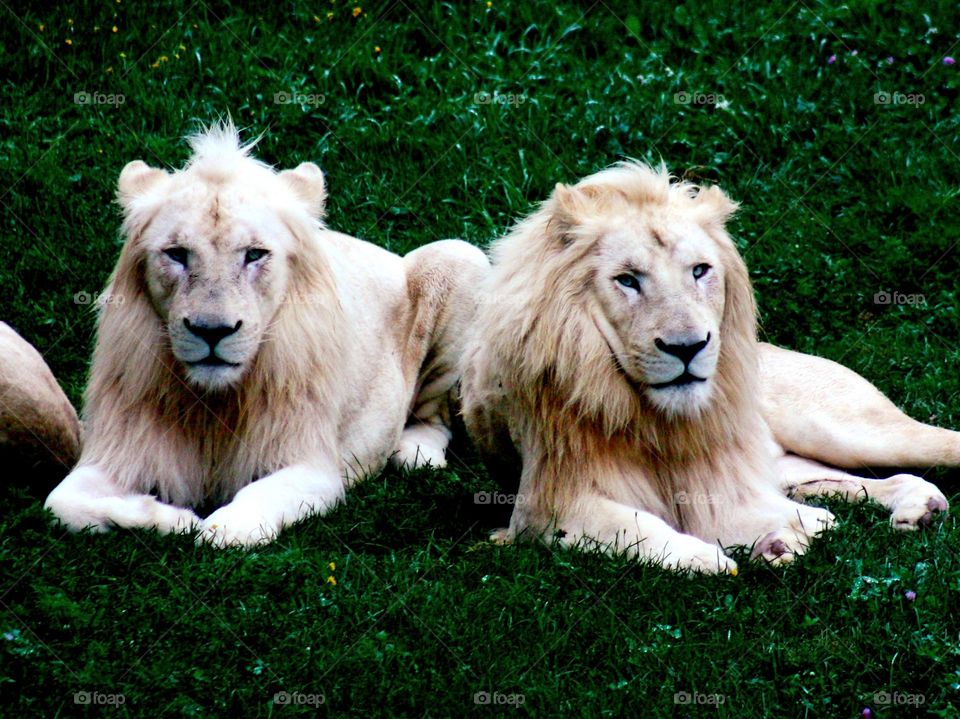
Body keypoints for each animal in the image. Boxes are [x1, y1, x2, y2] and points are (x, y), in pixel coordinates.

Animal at [44, 122, 488, 546]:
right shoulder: (120, 447)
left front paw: (220, 526)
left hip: (460, 256)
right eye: (177, 254)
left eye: (254, 254)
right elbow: (61, 503)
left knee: (436, 414)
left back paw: (415, 452)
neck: (213, 404)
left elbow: (250, 507)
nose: (212, 331)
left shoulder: (312, 462)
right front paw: (173, 518)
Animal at [460, 162, 954, 574]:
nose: (688, 347)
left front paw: (786, 534)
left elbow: (745, 512)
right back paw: (917, 506)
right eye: (627, 280)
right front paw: (716, 555)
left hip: (847, 429)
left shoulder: (719, 474)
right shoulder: (544, 504)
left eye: (700, 271)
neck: (652, 417)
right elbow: (632, 525)